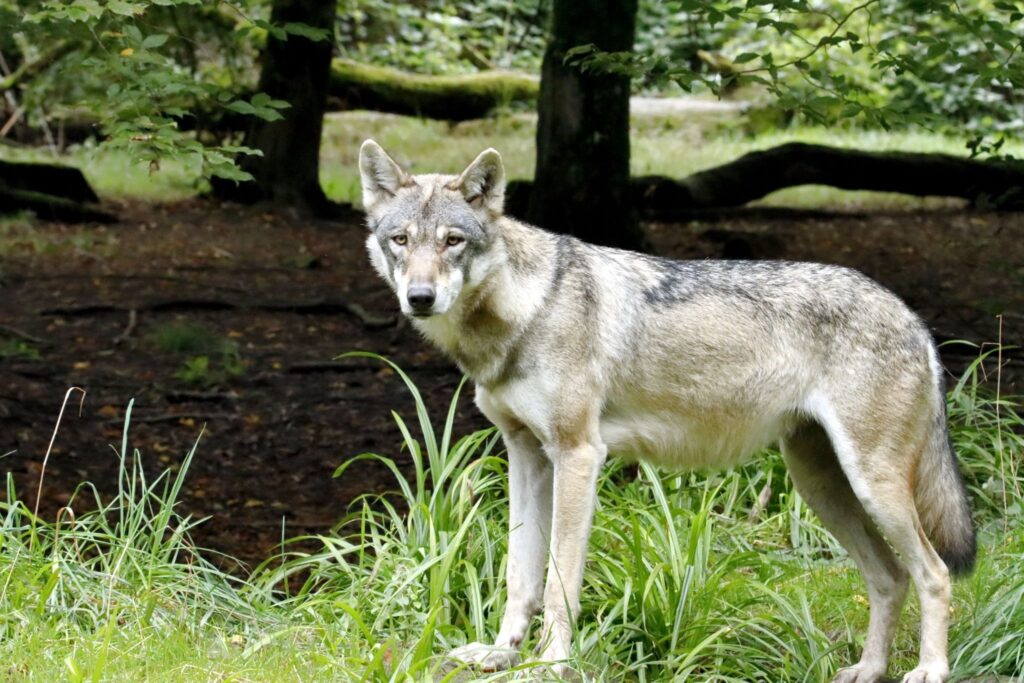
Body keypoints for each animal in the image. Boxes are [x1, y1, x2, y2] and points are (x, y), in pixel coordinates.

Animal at [358, 139, 975, 683]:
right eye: (401, 240)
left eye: (453, 241)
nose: (419, 298)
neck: (524, 311)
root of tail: (914, 318)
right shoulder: (526, 457)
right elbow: (519, 576)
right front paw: (502, 654)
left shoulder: (578, 455)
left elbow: (559, 581)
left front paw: (550, 664)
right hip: (822, 486)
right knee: (890, 577)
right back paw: (870, 669)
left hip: (872, 486)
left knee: (936, 573)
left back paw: (931, 669)